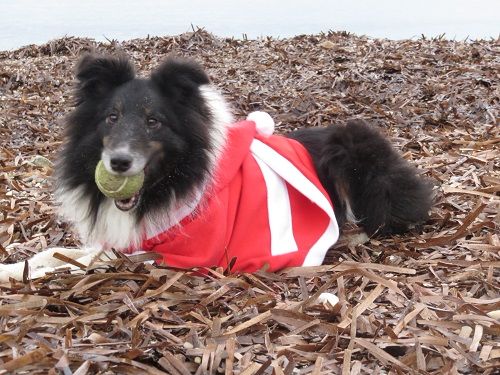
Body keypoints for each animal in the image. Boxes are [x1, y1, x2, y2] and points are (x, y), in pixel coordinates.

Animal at [0, 53, 432, 280]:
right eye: (111, 117)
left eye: (154, 121)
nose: (119, 163)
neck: (172, 179)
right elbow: (58, 253)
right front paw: (14, 265)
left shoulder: (184, 253)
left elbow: (87, 262)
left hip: (355, 150)